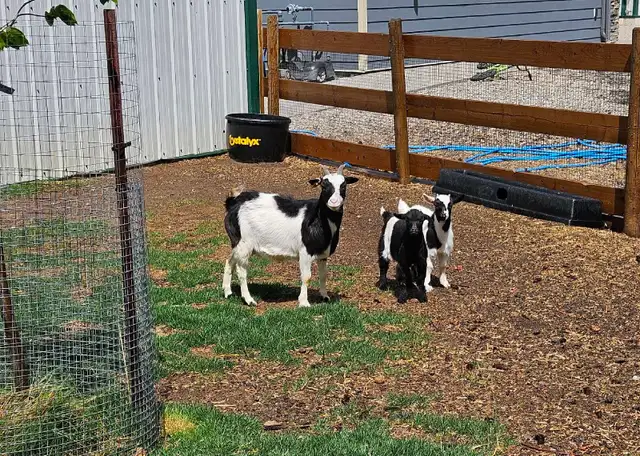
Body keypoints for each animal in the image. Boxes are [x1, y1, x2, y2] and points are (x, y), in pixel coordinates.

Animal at [222, 164, 358, 308]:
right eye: (323, 185)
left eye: (343, 185)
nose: (334, 202)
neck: (319, 219)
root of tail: (233, 202)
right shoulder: (305, 252)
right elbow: (306, 277)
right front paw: (304, 302)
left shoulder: (323, 255)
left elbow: (323, 275)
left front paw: (325, 296)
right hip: (244, 243)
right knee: (242, 270)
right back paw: (249, 300)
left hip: (237, 243)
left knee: (229, 260)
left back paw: (227, 292)